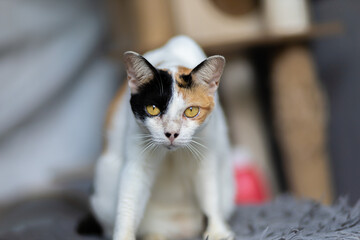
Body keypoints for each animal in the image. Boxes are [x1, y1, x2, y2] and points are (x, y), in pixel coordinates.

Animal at [91, 36, 235, 240]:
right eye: (153, 109)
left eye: (191, 111)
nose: (171, 133)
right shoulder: (137, 155)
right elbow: (129, 198)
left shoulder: (206, 153)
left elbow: (210, 194)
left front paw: (217, 231)